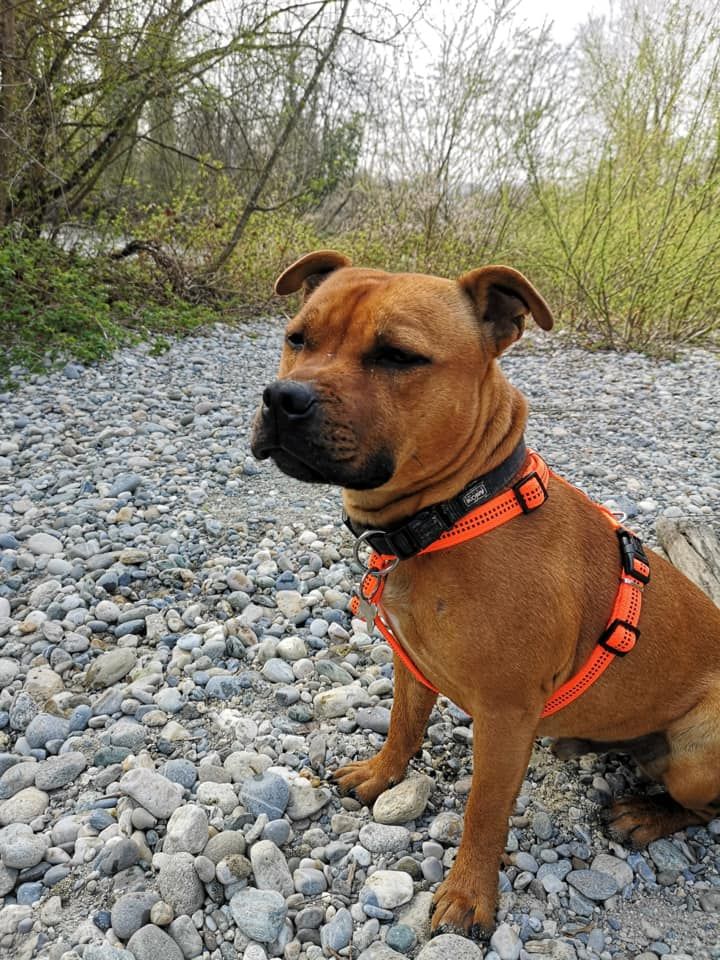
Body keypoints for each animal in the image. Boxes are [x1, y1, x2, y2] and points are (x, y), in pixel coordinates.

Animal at [251, 250, 720, 939]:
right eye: (297, 339)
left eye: (398, 356)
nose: (283, 398)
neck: (454, 513)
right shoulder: (412, 664)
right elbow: (403, 727)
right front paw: (381, 776)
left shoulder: (504, 716)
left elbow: (484, 813)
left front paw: (469, 894)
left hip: (698, 750)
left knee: (706, 808)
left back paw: (647, 814)